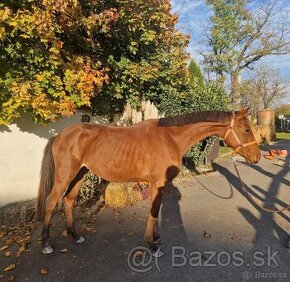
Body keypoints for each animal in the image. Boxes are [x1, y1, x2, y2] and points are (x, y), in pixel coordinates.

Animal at [36, 107, 260, 256]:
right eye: (247, 130)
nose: (257, 157)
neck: (171, 138)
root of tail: (60, 135)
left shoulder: (158, 185)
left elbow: (157, 210)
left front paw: (156, 238)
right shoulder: (158, 183)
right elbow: (152, 212)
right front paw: (152, 245)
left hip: (81, 174)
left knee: (69, 200)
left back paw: (75, 236)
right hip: (65, 175)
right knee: (51, 202)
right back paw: (46, 244)